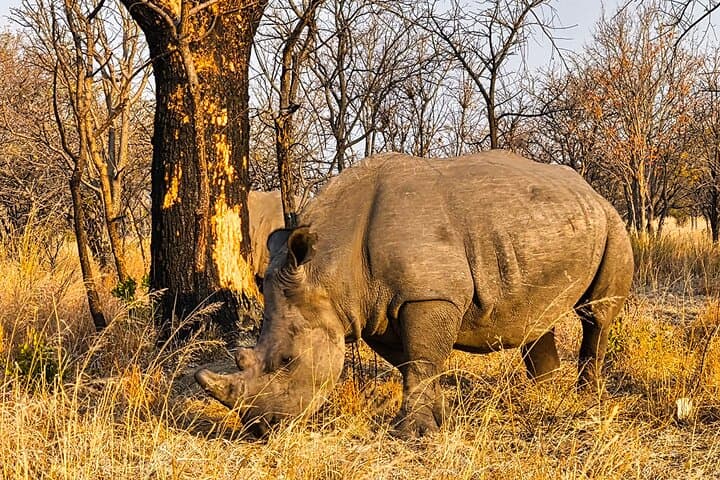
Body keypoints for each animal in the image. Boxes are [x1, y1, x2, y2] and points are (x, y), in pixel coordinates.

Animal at [196, 150, 634, 437]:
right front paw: (438, 421)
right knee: (536, 317)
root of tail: (591, 190)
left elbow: (422, 361)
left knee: (596, 315)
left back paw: (586, 396)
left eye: (287, 360)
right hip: (548, 224)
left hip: (613, 222)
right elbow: (415, 364)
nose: (260, 428)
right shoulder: (376, 310)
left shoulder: (428, 295)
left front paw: (411, 434)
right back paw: (544, 394)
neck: (328, 268)